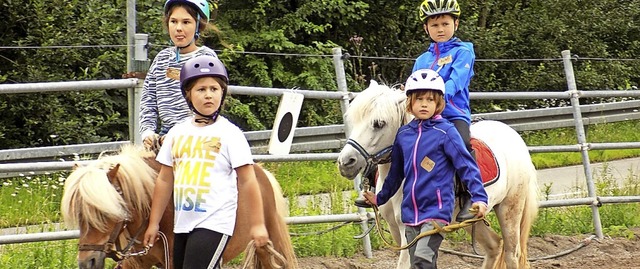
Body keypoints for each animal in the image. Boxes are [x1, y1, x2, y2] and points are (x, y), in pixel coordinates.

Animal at [338, 81, 536, 268]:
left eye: (379, 123)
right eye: (352, 120)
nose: (345, 162)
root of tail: (513, 135)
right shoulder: (396, 230)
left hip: (510, 209)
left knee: (512, 255)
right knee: (494, 246)